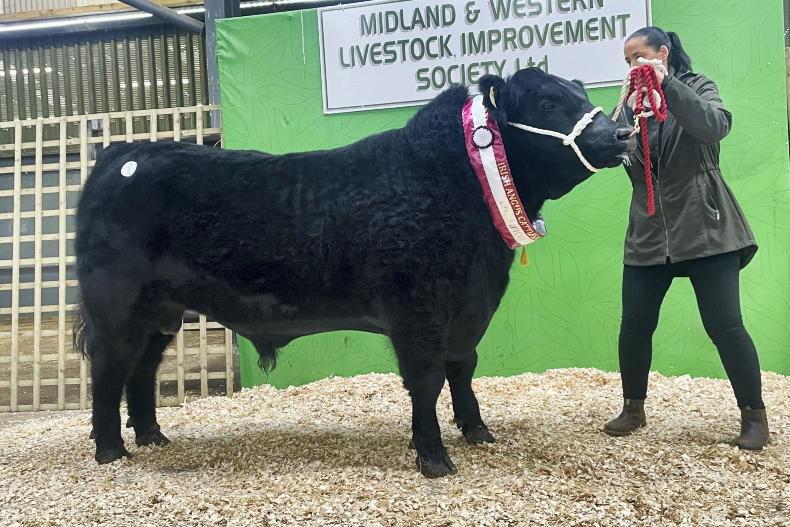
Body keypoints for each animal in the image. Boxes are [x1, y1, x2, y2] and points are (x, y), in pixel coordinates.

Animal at [74, 68, 634, 478]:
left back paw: (152, 436)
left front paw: (477, 432)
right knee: (109, 366)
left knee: (142, 368)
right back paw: (111, 450)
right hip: (116, 301)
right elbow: (427, 379)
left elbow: (462, 367)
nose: (622, 132)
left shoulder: (471, 305)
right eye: (546, 102)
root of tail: (126, 152)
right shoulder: (419, 309)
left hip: (161, 309)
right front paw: (434, 458)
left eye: (580, 92)